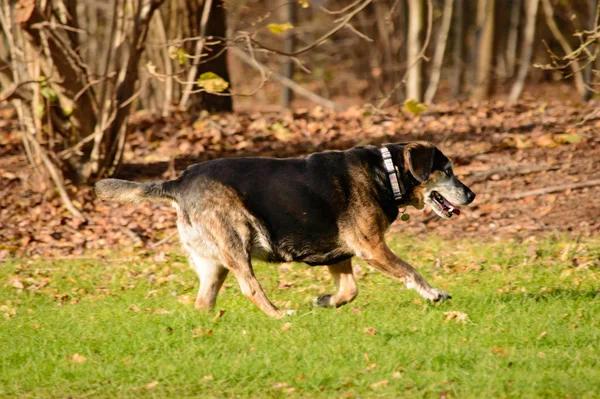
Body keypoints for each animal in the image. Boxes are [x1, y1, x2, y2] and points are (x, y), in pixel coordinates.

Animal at [96, 142, 476, 318]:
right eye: (447, 170)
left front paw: (326, 301)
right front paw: (434, 293)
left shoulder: (340, 253)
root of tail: (177, 182)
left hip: (212, 262)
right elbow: (410, 270)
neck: (386, 172)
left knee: (203, 301)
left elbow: (349, 289)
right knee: (250, 288)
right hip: (236, 239)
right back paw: (280, 316)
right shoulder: (369, 246)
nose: (472, 195)